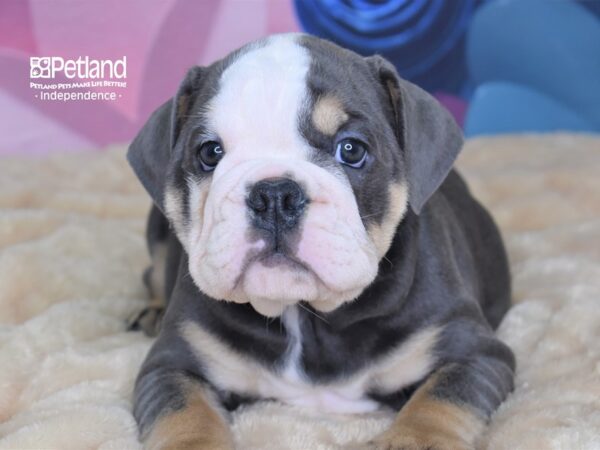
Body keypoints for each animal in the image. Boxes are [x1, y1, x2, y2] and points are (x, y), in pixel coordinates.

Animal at [127, 33, 516, 448]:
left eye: (352, 149)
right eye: (210, 152)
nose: (274, 195)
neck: (304, 315)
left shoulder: (471, 351)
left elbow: (438, 401)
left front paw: (413, 439)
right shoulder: (173, 363)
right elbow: (186, 414)